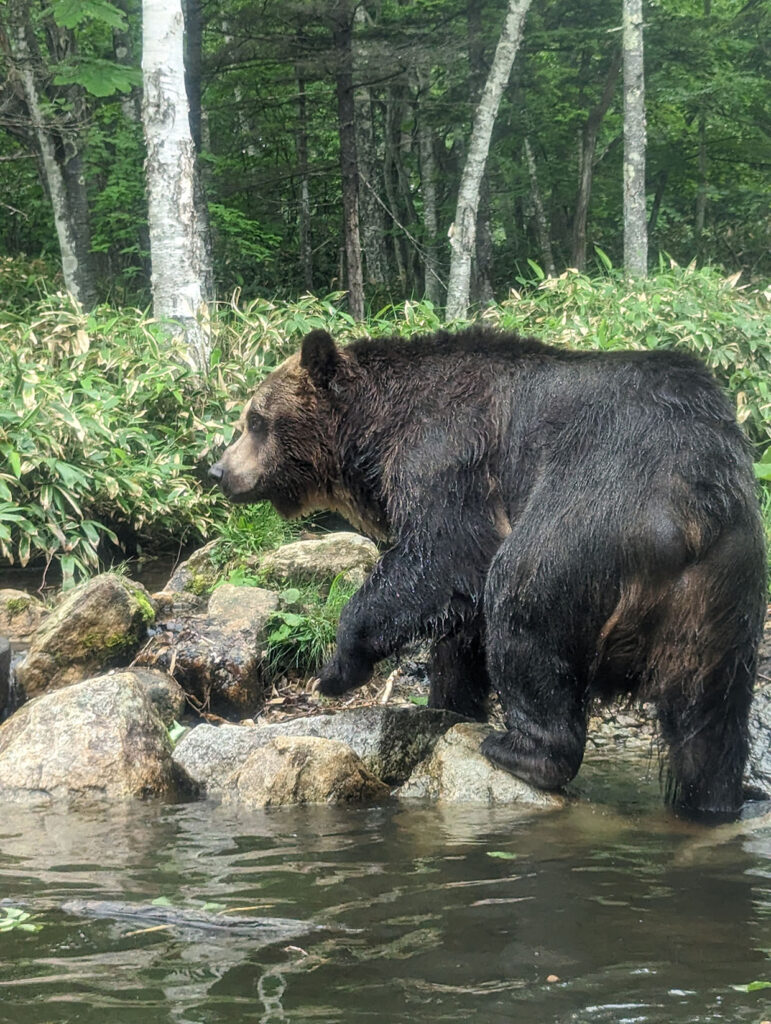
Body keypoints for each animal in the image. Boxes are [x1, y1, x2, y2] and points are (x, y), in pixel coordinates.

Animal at [207, 323, 765, 819]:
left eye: (255, 420)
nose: (218, 470)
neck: (376, 430)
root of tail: (695, 505)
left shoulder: (448, 453)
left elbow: (449, 555)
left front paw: (336, 670)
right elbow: (458, 629)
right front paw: (449, 702)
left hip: (593, 508)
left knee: (522, 602)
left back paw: (521, 751)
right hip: (723, 594)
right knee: (708, 719)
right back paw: (711, 799)